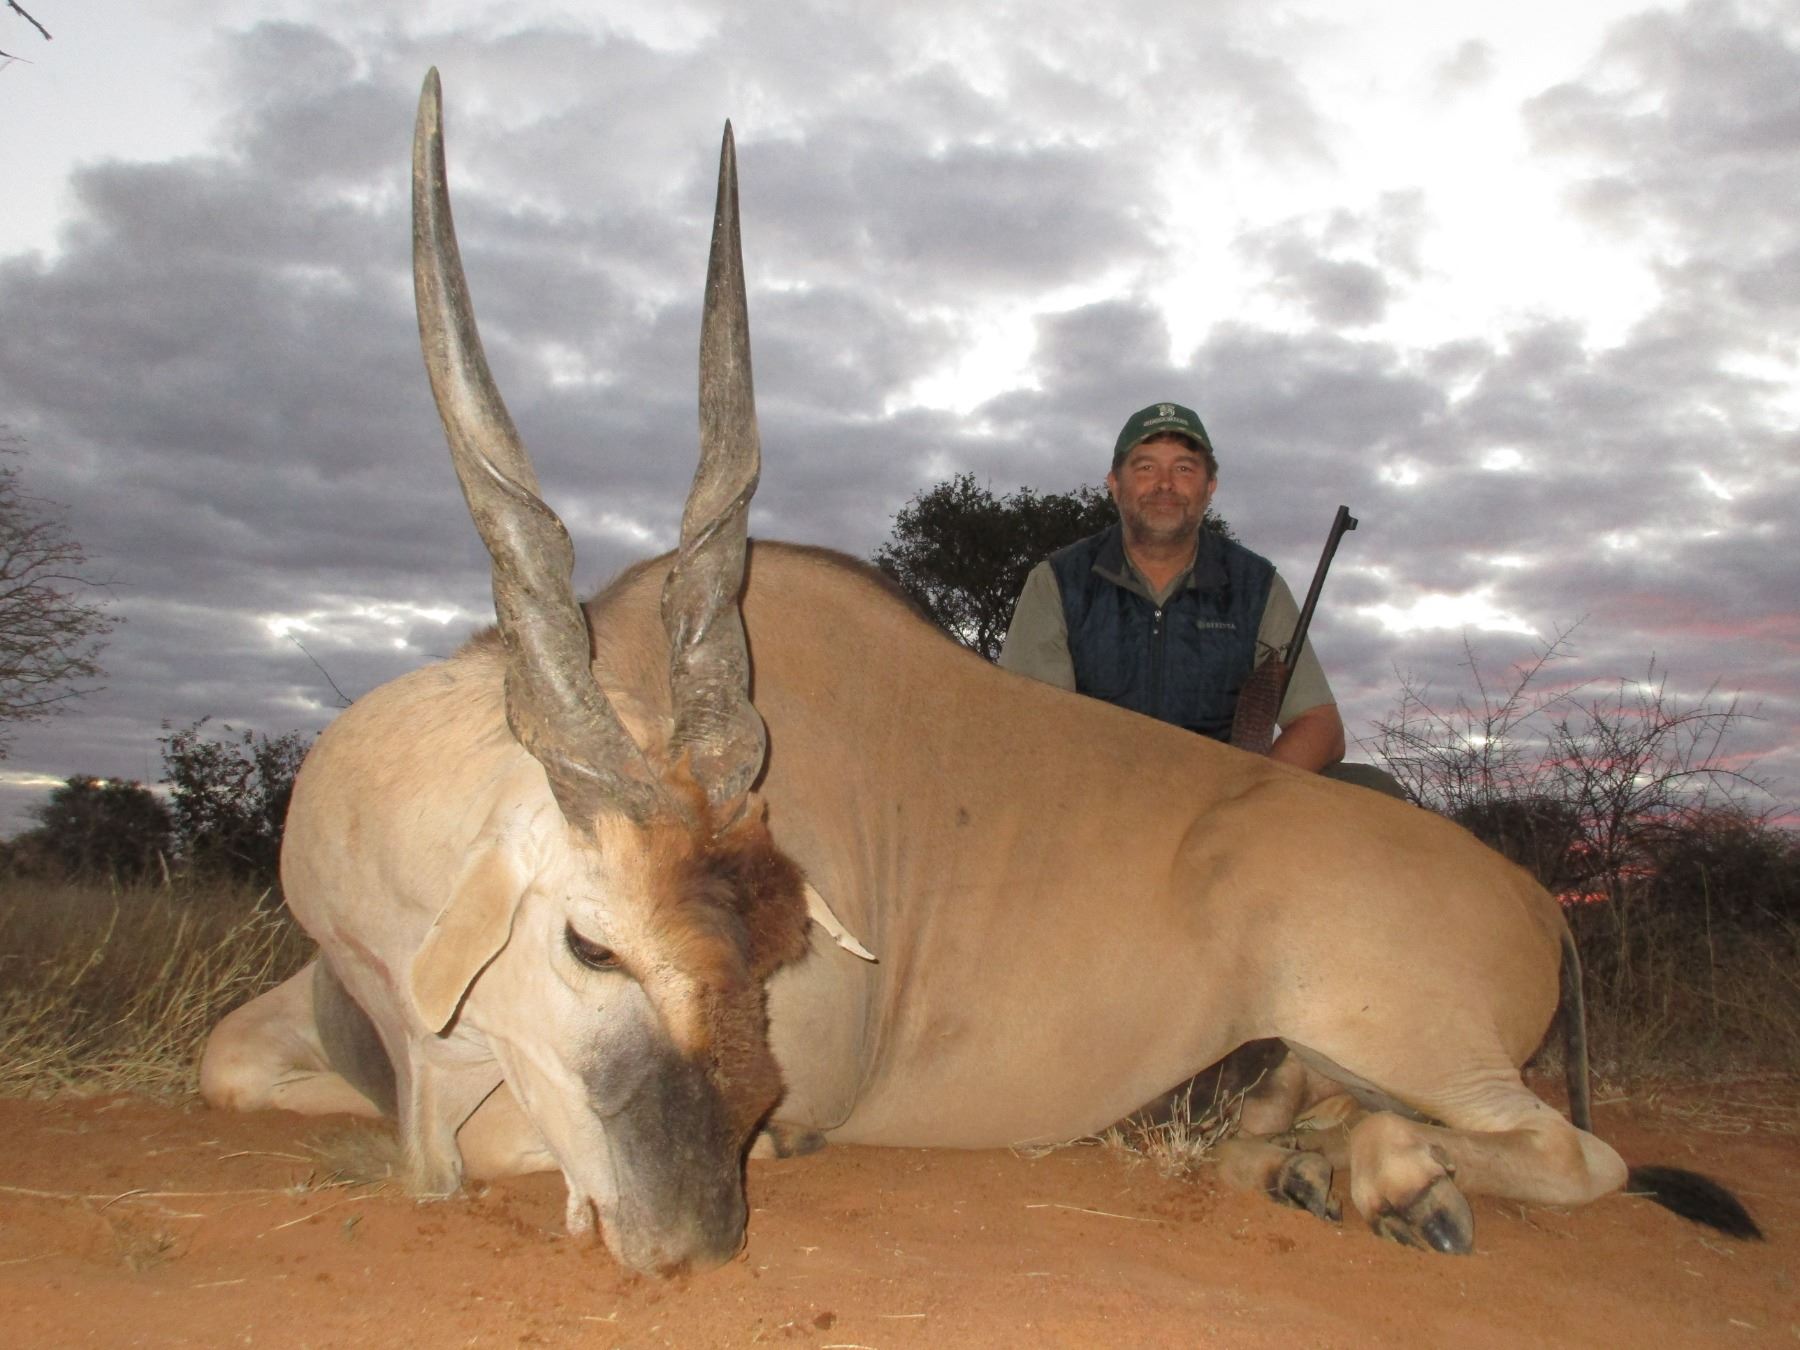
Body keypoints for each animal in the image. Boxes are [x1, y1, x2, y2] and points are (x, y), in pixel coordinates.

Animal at [199, 70, 1758, 1276]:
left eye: (767, 956)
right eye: (592, 943)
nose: (696, 1237)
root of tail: (1537, 903)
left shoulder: (771, 1104)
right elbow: (228, 1063)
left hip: (1405, 1032)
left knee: (1582, 1157)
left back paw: (1388, 1182)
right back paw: (1302, 1161)